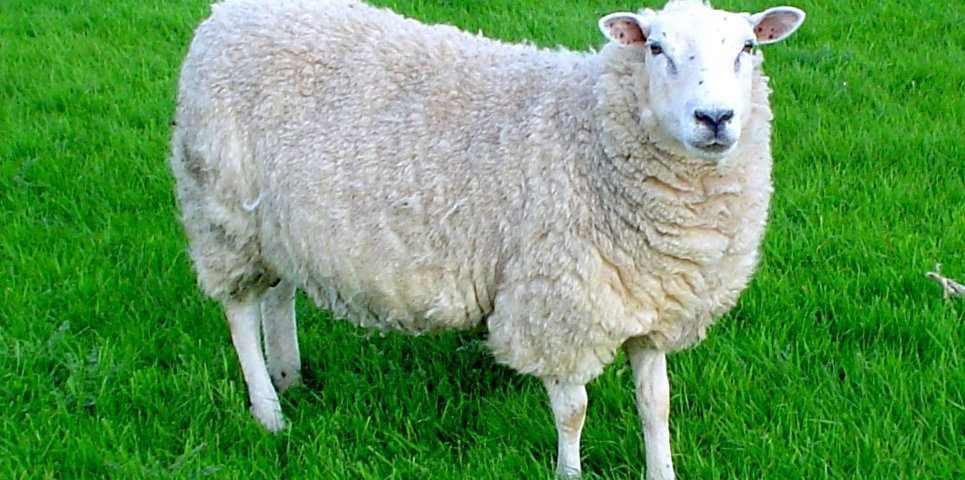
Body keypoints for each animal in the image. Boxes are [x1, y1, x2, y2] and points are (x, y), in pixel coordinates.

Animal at [169, 0, 805, 477]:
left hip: (276, 224)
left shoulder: (648, 301)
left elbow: (657, 406)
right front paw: (569, 473)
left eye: (748, 48)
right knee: (240, 311)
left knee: (279, 295)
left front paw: (661, 471)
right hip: (221, 211)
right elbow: (573, 411)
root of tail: (225, 13)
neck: (590, 134)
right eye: (655, 48)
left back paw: (291, 375)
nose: (715, 118)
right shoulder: (558, 305)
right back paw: (270, 411)